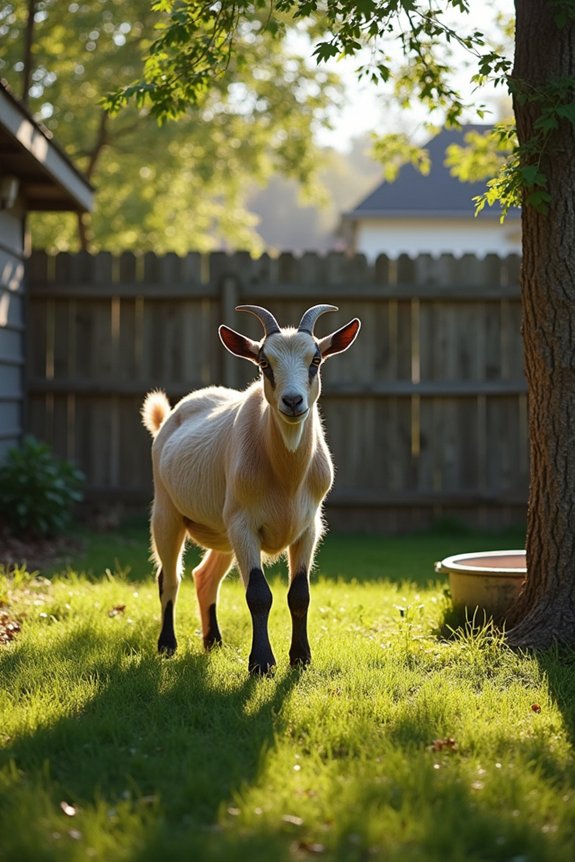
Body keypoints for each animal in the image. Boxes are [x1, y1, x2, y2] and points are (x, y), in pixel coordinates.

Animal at [141, 304, 360, 674]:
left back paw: (213, 641)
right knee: (169, 578)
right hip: (167, 513)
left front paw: (300, 658)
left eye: (316, 359)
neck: (286, 479)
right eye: (264, 363)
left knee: (205, 577)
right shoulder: (244, 525)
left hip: (223, 533)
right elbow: (258, 594)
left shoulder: (308, 528)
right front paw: (261, 663)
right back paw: (167, 645)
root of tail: (169, 418)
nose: (292, 401)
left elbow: (300, 594)